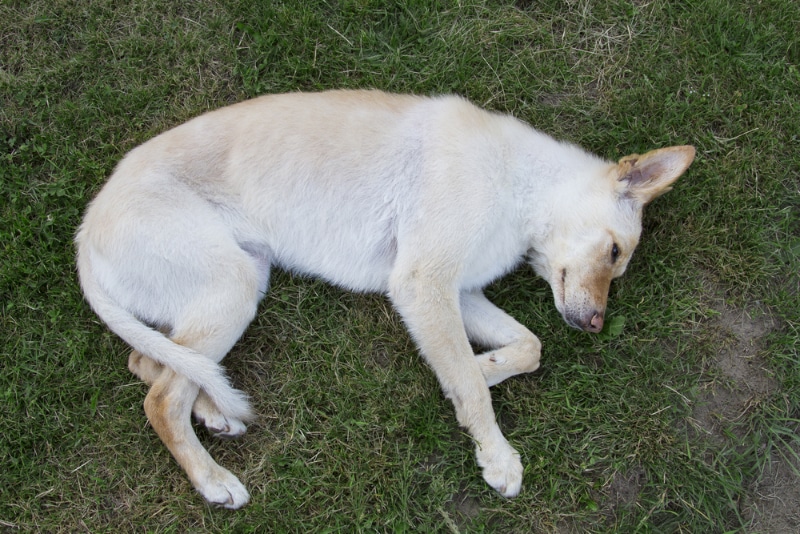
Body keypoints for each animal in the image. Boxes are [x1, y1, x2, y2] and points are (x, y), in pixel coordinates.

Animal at [78, 90, 696, 508]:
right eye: (615, 253)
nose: (595, 325)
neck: (522, 183)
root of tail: (84, 233)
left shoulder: (457, 291)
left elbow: (527, 348)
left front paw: (482, 367)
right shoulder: (424, 283)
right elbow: (474, 385)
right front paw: (496, 454)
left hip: (238, 283)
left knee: (155, 362)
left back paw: (212, 410)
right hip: (232, 284)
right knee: (160, 397)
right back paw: (213, 480)